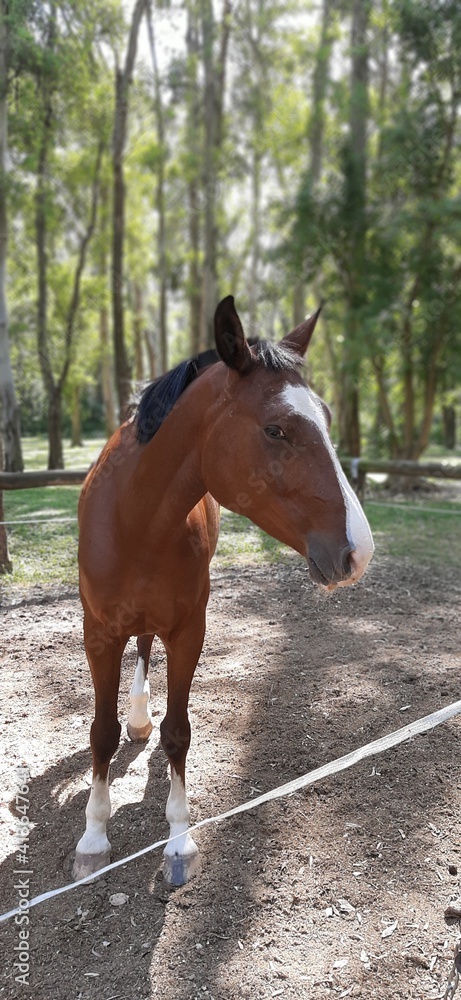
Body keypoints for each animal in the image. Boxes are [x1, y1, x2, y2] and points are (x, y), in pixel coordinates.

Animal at [74, 295, 374, 885]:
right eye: (276, 430)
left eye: (327, 418)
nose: (359, 550)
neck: (133, 519)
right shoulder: (99, 633)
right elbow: (100, 733)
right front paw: (94, 837)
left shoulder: (190, 629)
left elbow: (178, 732)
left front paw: (178, 840)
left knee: (147, 652)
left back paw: (140, 719)